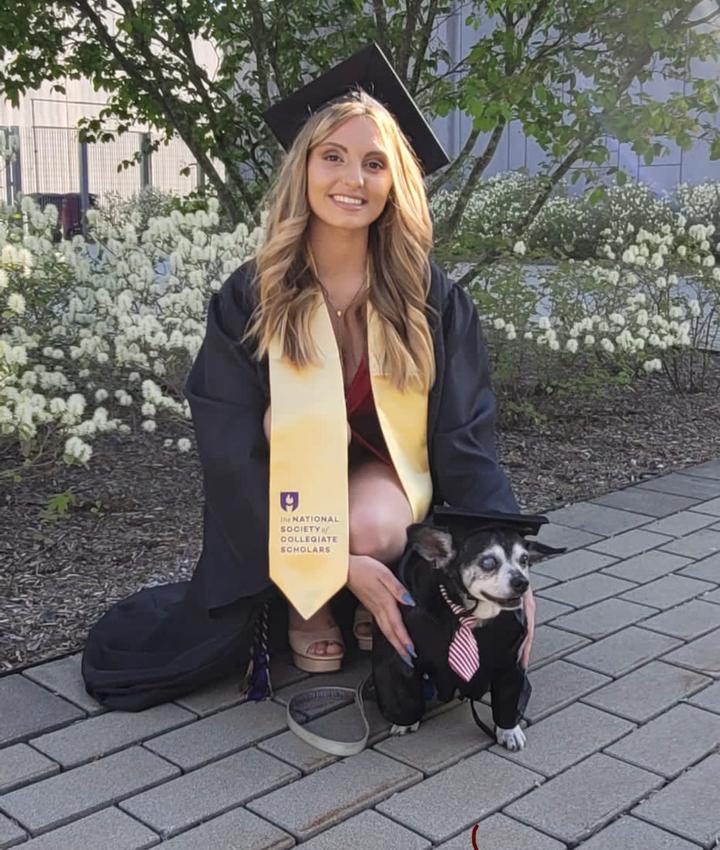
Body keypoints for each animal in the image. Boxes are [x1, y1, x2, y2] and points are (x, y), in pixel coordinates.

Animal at [372, 504, 564, 748]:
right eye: (488, 562)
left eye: (524, 560)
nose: (522, 582)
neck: (469, 615)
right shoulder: (400, 657)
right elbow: (403, 691)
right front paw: (405, 722)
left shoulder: (510, 662)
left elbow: (508, 698)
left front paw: (509, 730)